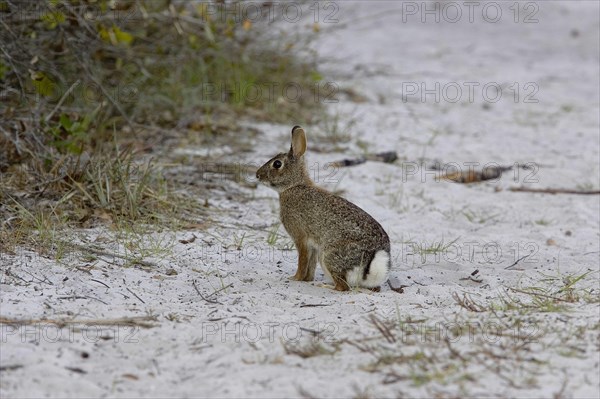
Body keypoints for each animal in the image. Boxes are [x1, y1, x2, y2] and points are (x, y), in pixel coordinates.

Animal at [256, 126, 390, 292]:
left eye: (277, 164)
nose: (257, 175)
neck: (294, 185)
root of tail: (370, 265)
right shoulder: (313, 244)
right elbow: (310, 265)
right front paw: (307, 279)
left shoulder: (300, 237)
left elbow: (302, 260)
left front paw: (295, 278)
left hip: (328, 255)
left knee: (343, 286)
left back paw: (325, 286)